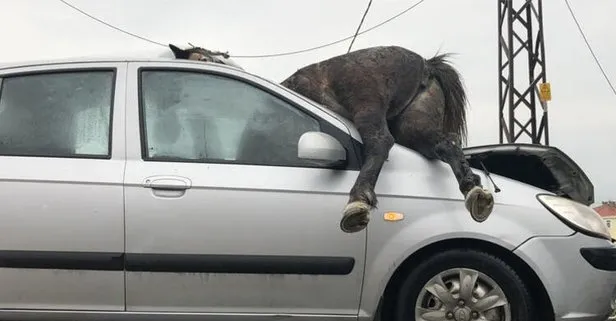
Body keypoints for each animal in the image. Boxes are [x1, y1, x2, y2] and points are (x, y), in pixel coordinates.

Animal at [166, 43, 494, 232]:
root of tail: (426, 63)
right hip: (414, 125)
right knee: (445, 144)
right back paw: (474, 191)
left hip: (367, 107)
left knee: (381, 142)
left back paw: (357, 202)